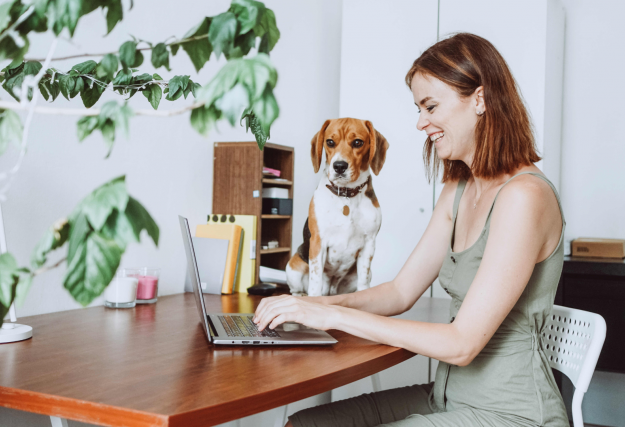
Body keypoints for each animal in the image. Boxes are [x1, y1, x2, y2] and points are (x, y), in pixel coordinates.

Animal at [286, 118, 386, 298]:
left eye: (358, 142)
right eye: (330, 142)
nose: (339, 166)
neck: (346, 195)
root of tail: (331, 290)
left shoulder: (369, 243)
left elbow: (363, 280)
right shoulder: (318, 242)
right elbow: (315, 281)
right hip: (293, 266)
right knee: (296, 290)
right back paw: (302, 296)